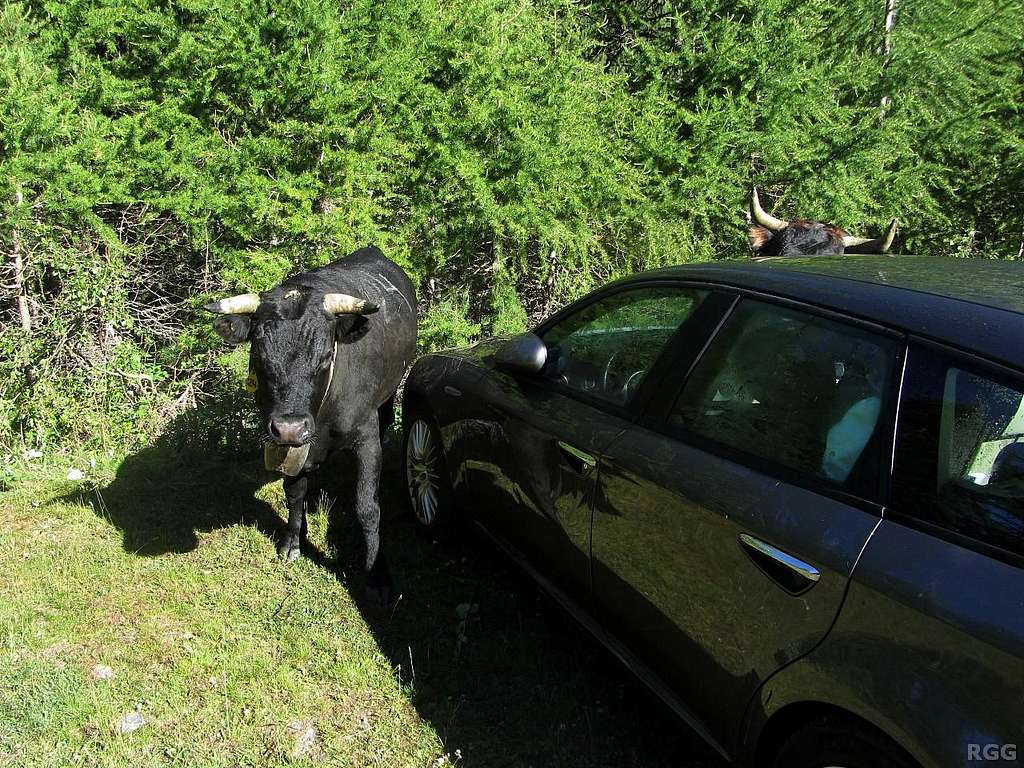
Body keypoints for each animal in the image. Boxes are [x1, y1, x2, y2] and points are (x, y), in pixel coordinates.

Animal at [205, 246, 417, 602]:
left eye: (326, 356)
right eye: (258, 356)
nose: (291, 427)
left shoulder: (366, 439)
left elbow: (368, 506)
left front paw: (378, 575)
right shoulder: (285, 443)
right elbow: (294, 492)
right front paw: (294, 539)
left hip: (388, 394)